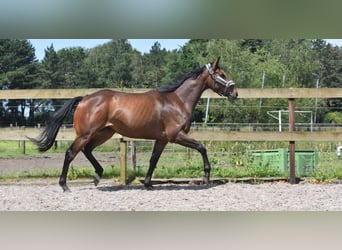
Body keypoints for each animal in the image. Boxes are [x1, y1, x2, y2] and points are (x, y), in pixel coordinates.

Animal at [28, 57, 238, 191]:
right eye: (222, 74)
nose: (235, 93)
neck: (177, 101)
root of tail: (85, 98)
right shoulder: (176, 136)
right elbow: (202, 147)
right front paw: (206, 177)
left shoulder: (162, 139)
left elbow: (153, 160)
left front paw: (147, 183)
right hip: (86, 134)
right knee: (71, 153)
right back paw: (64, 185)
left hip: (104, 133)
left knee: (87, 151)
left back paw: (97, 176)